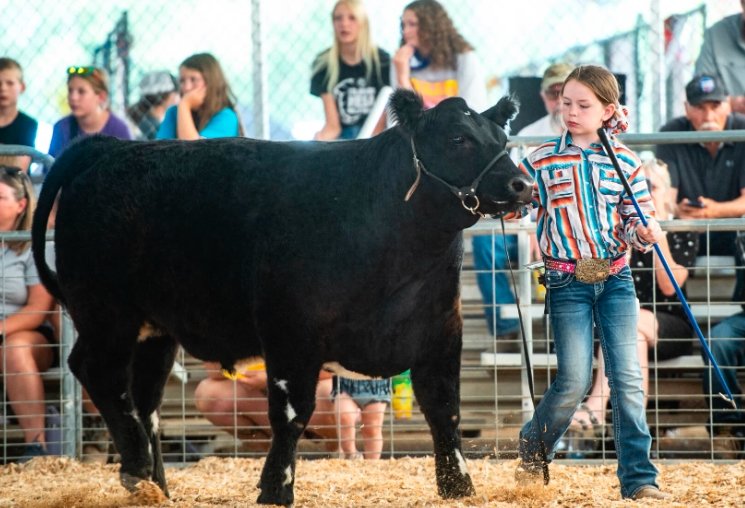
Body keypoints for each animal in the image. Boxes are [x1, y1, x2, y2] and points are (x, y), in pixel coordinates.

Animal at [31, 89, 532, 506]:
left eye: (501, 137)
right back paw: (136, 471)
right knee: (99, 373)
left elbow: (445, 409)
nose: (521, 185)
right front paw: (276, 488)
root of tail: (109, 148)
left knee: (144, 397)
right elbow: (292, 414)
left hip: (154, 328)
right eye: (458, 138)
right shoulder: (292, 333)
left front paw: (458, 486)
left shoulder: (440, 330)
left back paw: (157, 485)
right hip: (106, 313)